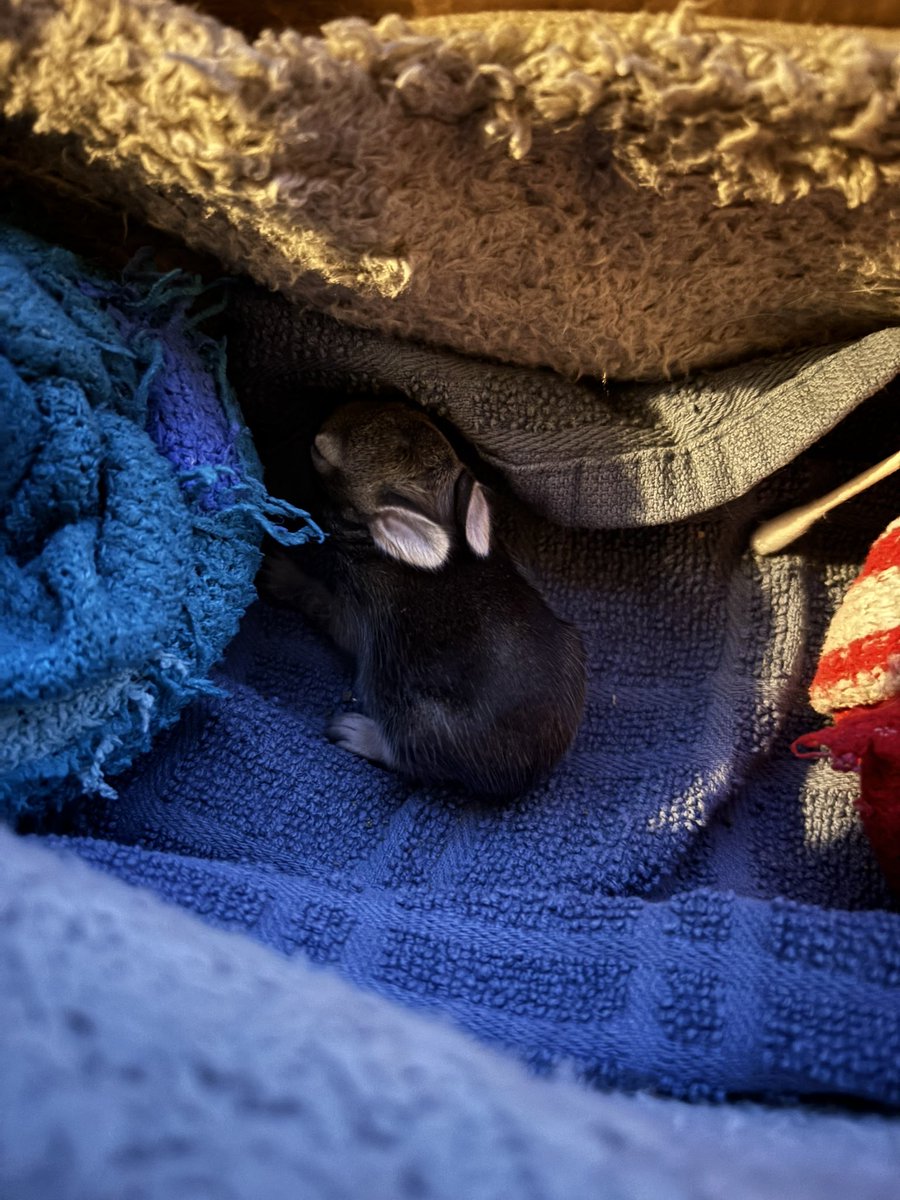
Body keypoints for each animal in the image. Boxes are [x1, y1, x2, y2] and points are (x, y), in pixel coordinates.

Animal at [263, 397, 586, 798]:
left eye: (319, 451)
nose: (329, 412)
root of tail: (531, 769)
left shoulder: (357, 611)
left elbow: (320, 604)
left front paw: (278, 573)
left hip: (419, 718)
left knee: (412, 756)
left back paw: (353, 731)